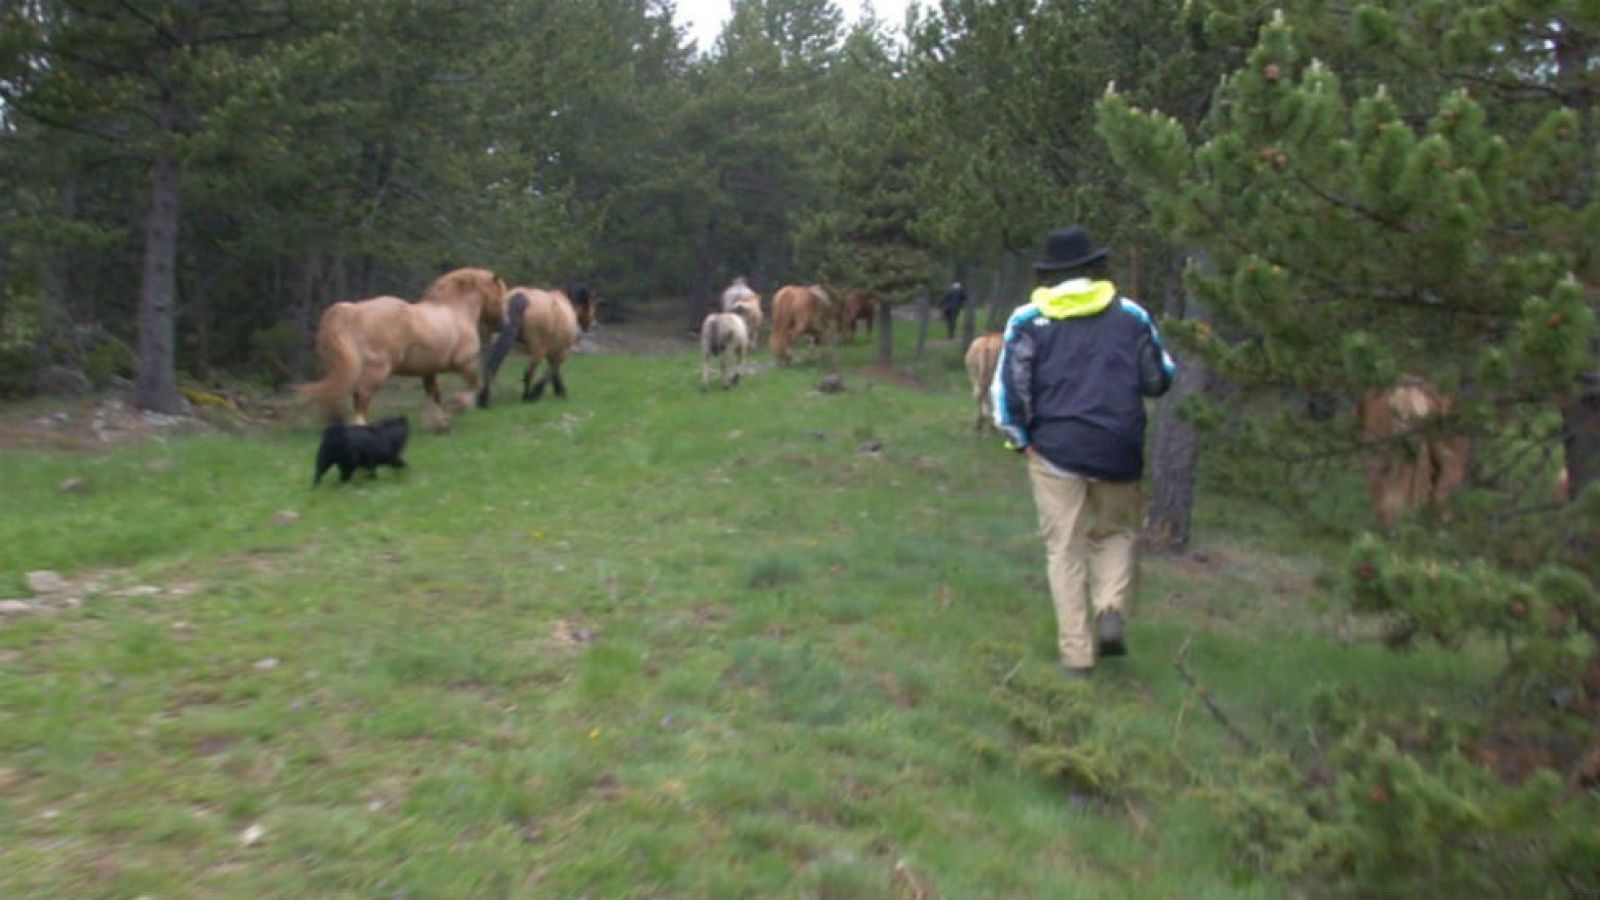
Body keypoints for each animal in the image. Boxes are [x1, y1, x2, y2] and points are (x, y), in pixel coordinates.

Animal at [296, 267, 508, 428]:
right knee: (362, 395)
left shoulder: (428, 370)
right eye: (500, 296)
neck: (456, 311)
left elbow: (433, 393)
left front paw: (439, 424)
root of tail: (355, 311)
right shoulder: (465, 363)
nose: (503, 325)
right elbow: (474, 385)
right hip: (378, 369)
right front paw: (456, 407)